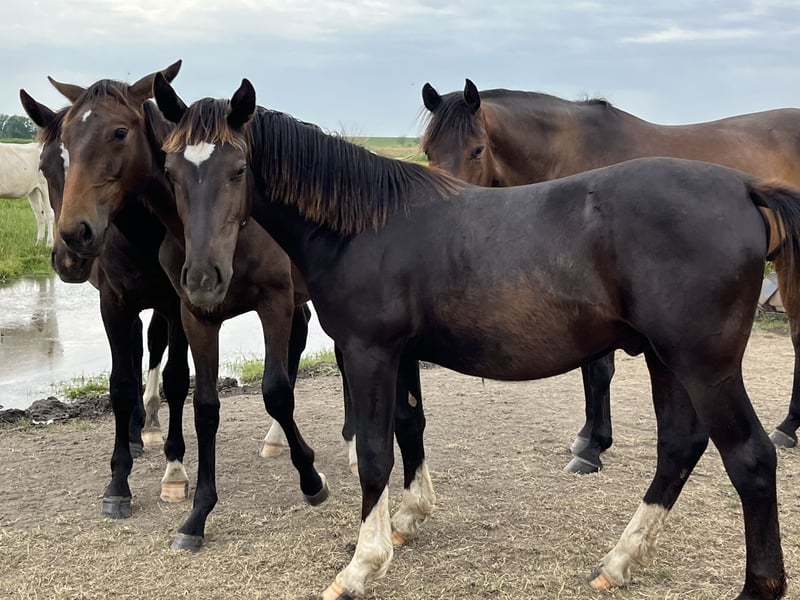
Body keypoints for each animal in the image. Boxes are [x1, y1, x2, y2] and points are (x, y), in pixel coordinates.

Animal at [420, 79, 800, 472]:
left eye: (477, 150)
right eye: (428, 150)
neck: (569, 153)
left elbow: (598, 370)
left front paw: (593, 447)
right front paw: (588, 437)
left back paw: (786, 427)